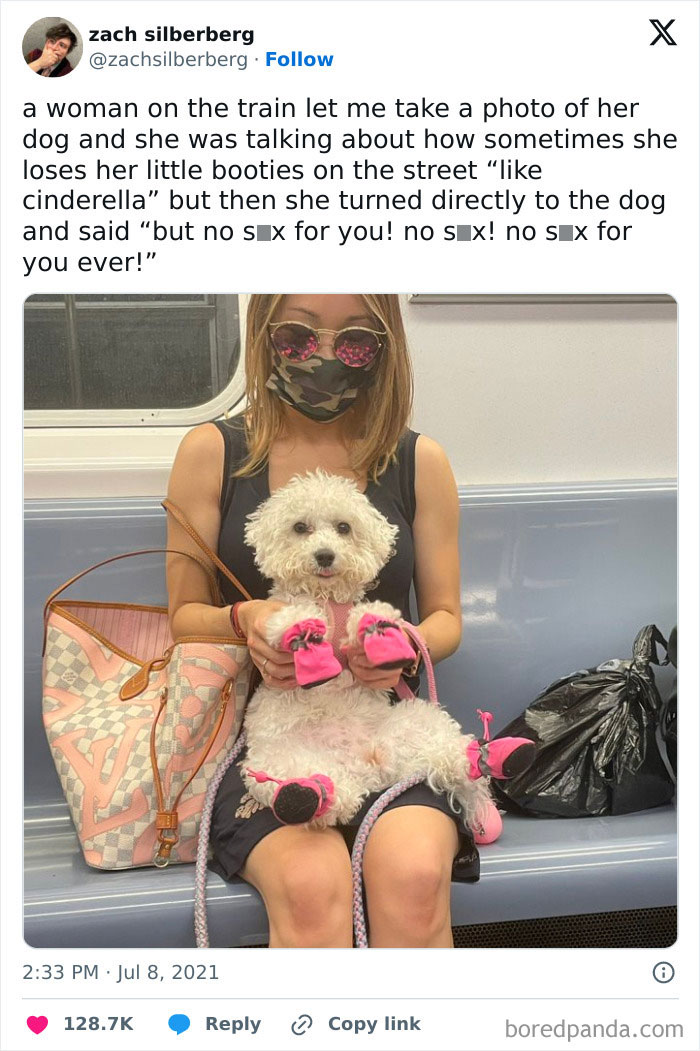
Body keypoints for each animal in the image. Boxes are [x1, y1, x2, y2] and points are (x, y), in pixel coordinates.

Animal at [239, 472, 489, 832]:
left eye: (344, 527)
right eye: (300, 527)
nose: (325, 555)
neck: (326, 597)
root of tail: (367, 764)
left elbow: (368, 614)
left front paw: (378, 629)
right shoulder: (281, 611)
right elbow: (291, 614)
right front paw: (304, 632)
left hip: (414, 721)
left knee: (445, 751)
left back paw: (480, 758)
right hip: (276, 761)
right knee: (310, 787)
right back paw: (310, 798)